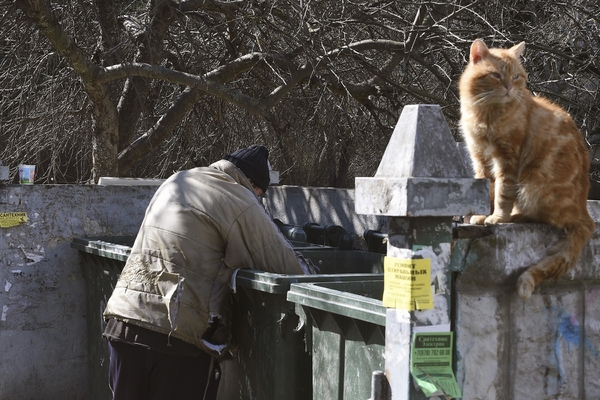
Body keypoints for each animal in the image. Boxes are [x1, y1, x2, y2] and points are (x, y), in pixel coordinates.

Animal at [460, 39, 596, 298]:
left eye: (515, 76)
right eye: (496, 75)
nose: (508, 88)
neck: (488, 114)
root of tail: (585, 215)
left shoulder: (507, 159)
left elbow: (502, 192)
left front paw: (497, 217)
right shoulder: (480, 159)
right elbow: (486, 189)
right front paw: (481, 215)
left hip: (532, 184)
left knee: (540, 216)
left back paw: (514, 215)